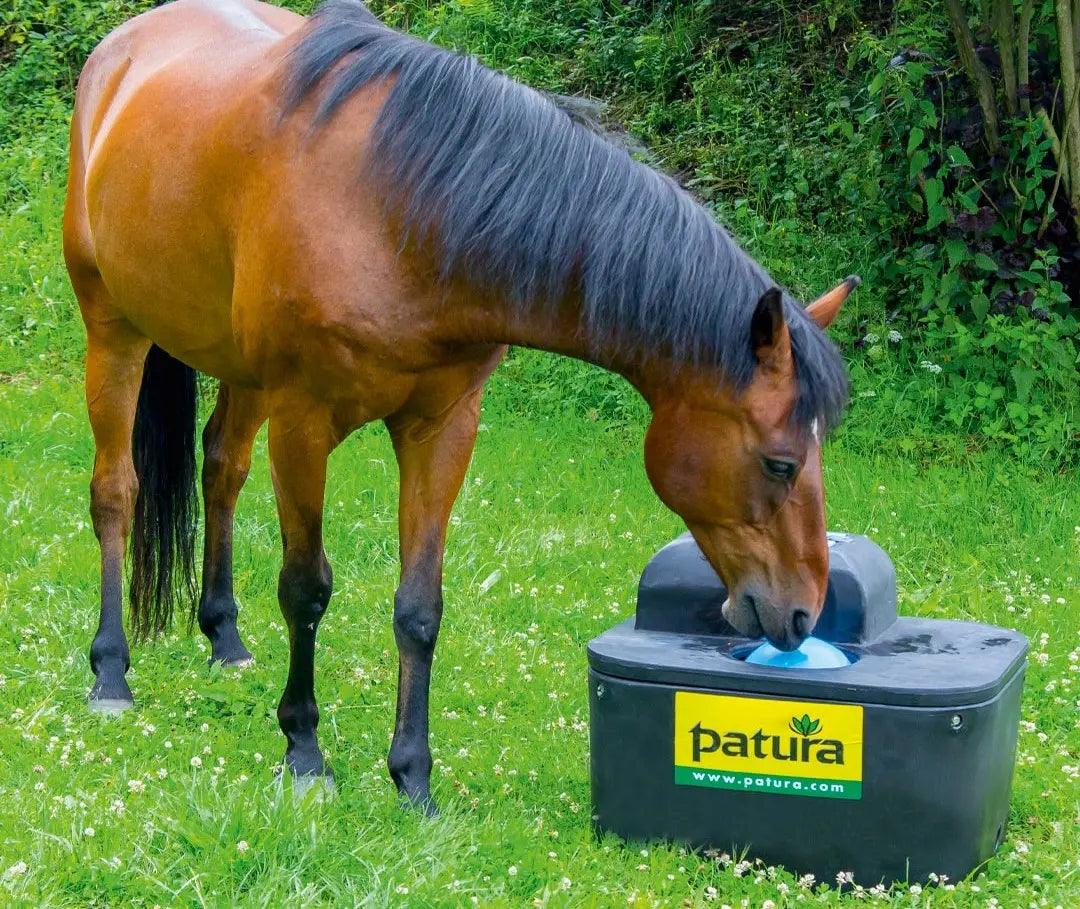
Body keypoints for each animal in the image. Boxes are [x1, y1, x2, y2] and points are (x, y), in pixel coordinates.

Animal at [63, 0, 855, 810]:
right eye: (781, 463)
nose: (802, 613)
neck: (398, 210)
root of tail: (124, 47)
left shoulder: (442, 427)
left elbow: (420, 606)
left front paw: (412, 776)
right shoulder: (303, 420)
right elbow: (306, 587)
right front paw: (305, 750)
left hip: (239, 370)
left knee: (221, 467)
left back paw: (224, 639)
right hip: (114, 329)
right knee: (116, 492)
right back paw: (111, 672)